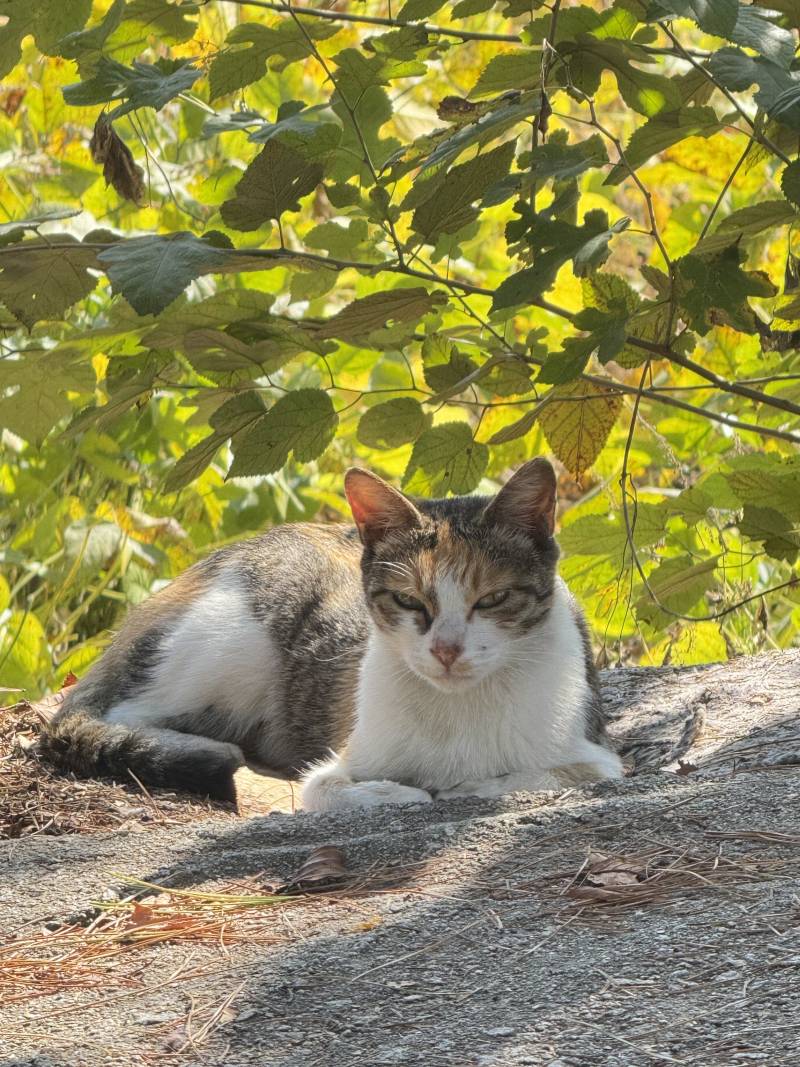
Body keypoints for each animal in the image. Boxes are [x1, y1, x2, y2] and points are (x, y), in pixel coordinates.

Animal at [39, 458, 627, 806]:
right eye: (409, 601)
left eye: (493, 600)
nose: (446, 650)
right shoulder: (340, 763)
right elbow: (330, 789)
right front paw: (400, 793)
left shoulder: (596, 755)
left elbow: (542, 776)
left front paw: (468, 785)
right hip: (228, 641)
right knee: (103, 719)